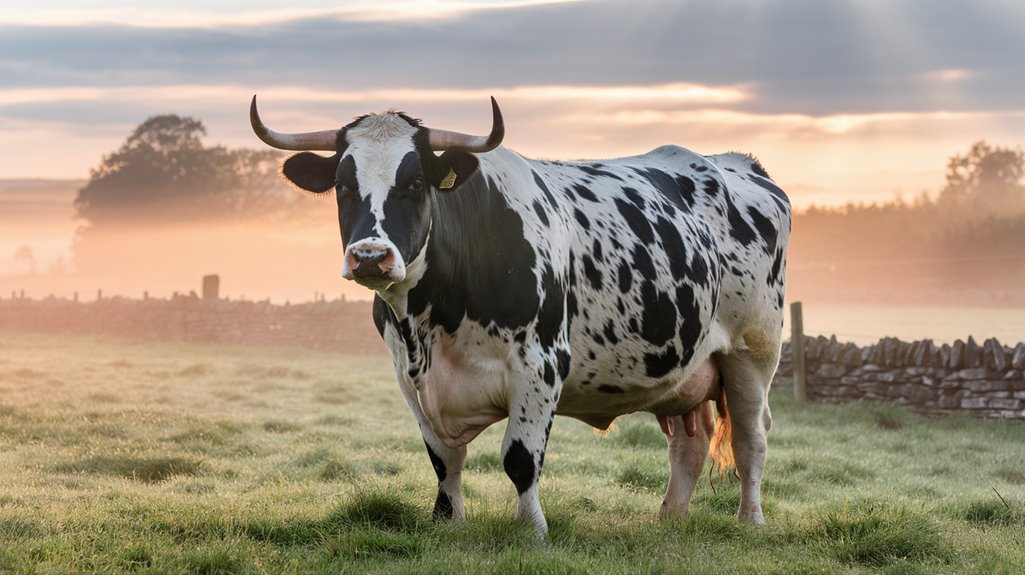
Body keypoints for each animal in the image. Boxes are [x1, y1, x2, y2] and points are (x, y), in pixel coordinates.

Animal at [250, 96, 791, 537]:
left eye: (416, 181)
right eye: (342, 184)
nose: (369, 256)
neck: (430, 325)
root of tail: (738, 164)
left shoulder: (540, 364)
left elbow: (520, 459)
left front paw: (532, 530)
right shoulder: (407, 375)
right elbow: (443, 458)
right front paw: (447, 521)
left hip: (753, 352)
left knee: (751, 440)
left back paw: (751, 521)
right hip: (685, 366)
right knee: (689, 446)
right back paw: (670, 519)